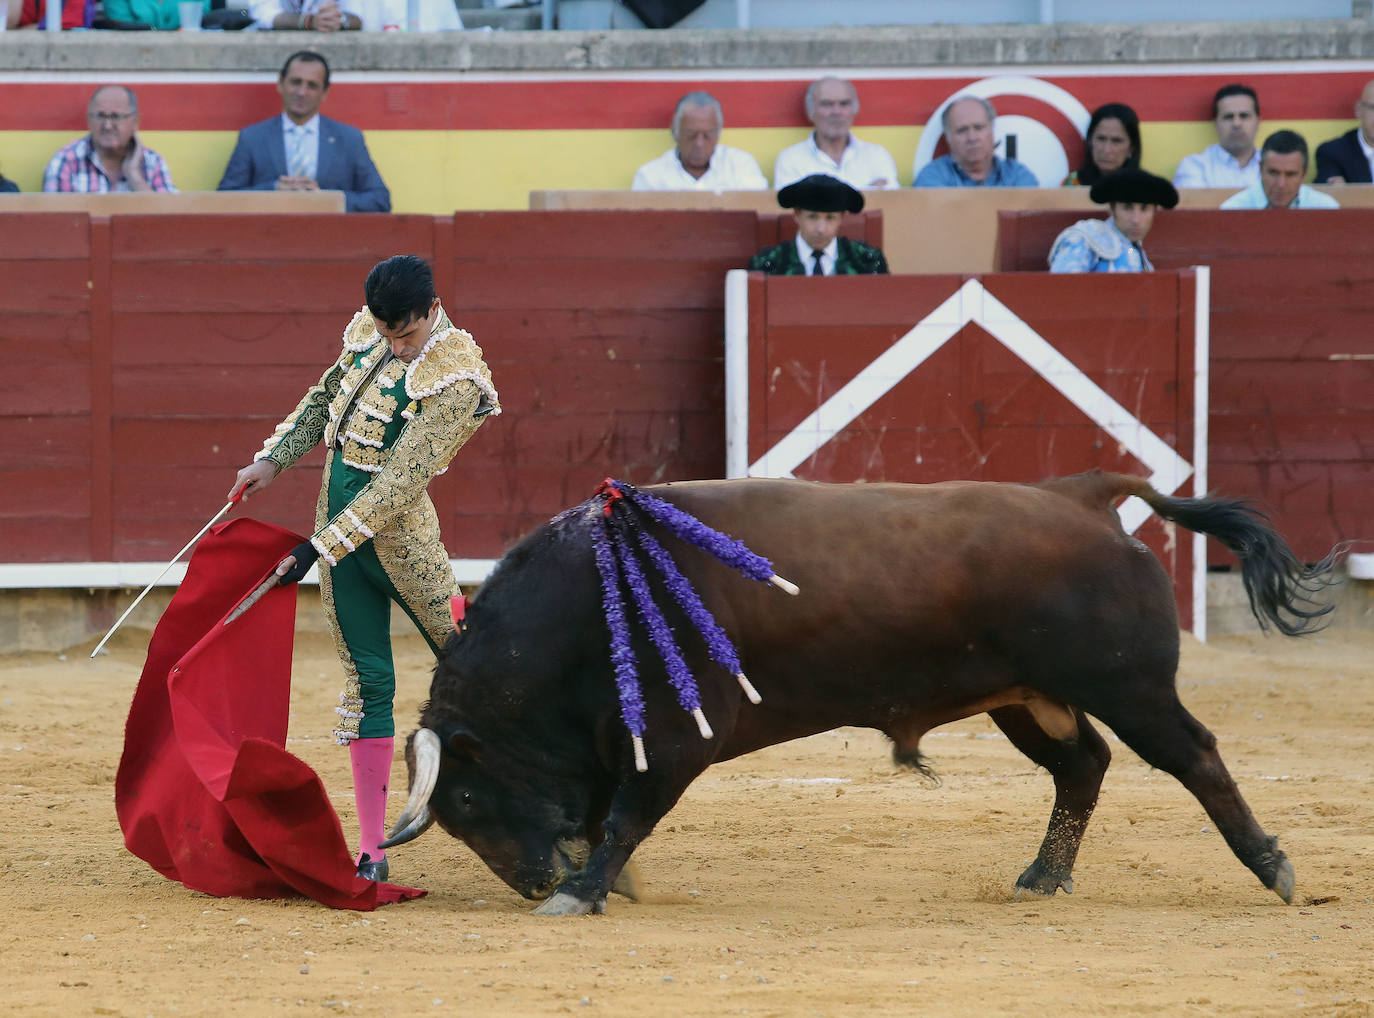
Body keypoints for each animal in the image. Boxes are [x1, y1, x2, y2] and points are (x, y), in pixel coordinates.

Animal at [381, 472, 1335, 917]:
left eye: (469, 798)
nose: (533, 882)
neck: (588, 602)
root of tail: (1081, 496)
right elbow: (607, 812)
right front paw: (595, 885)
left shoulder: (679, 736)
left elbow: (624, 817)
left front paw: (583, 893)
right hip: (1026, 698)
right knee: (1083, 767)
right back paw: (1040, 878)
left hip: (1129, 686)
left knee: (1194, 757)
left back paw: (1274, 868)